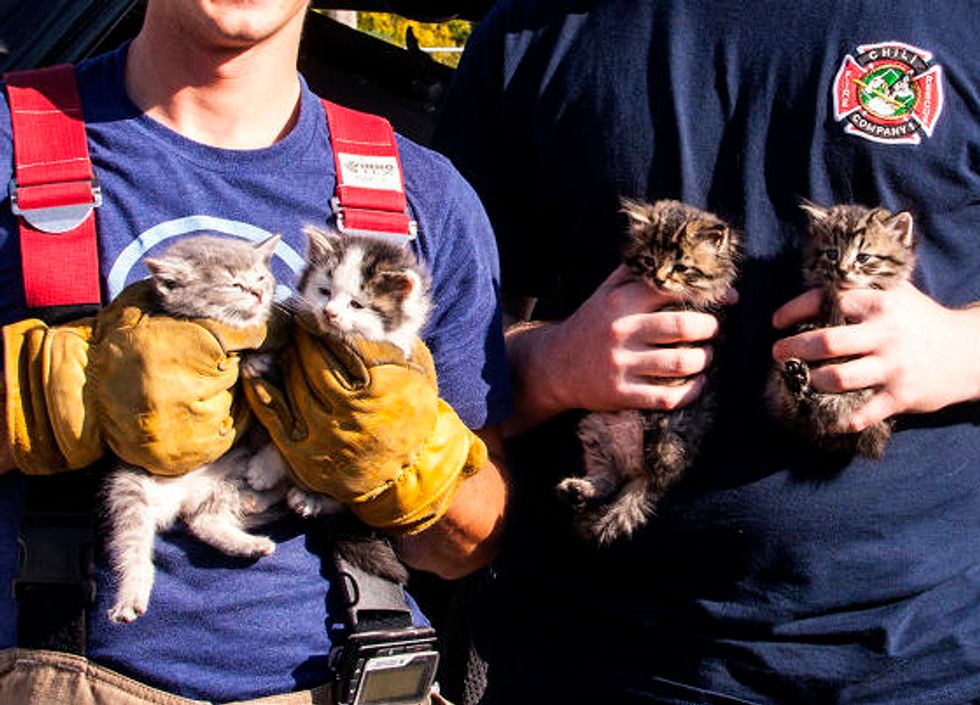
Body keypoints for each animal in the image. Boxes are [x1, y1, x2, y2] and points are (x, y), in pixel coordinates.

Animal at [104, 232, 284, 620]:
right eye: (234, 283)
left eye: (260, 277)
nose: (258, 293)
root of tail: (181, 496)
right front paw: (250, 359)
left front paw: (256, 358)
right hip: (130, 486)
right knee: (132, 544)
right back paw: (130, 595)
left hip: (227, 479)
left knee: (205, 522)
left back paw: (251, 534)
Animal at [556, 198, 740, 544]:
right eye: (649, 260)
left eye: (681, 267)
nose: (659, 278)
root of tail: (638, 472)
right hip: (596, 431)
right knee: (607, 478)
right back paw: (580, 489)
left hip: (680, 424)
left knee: (664, 459)